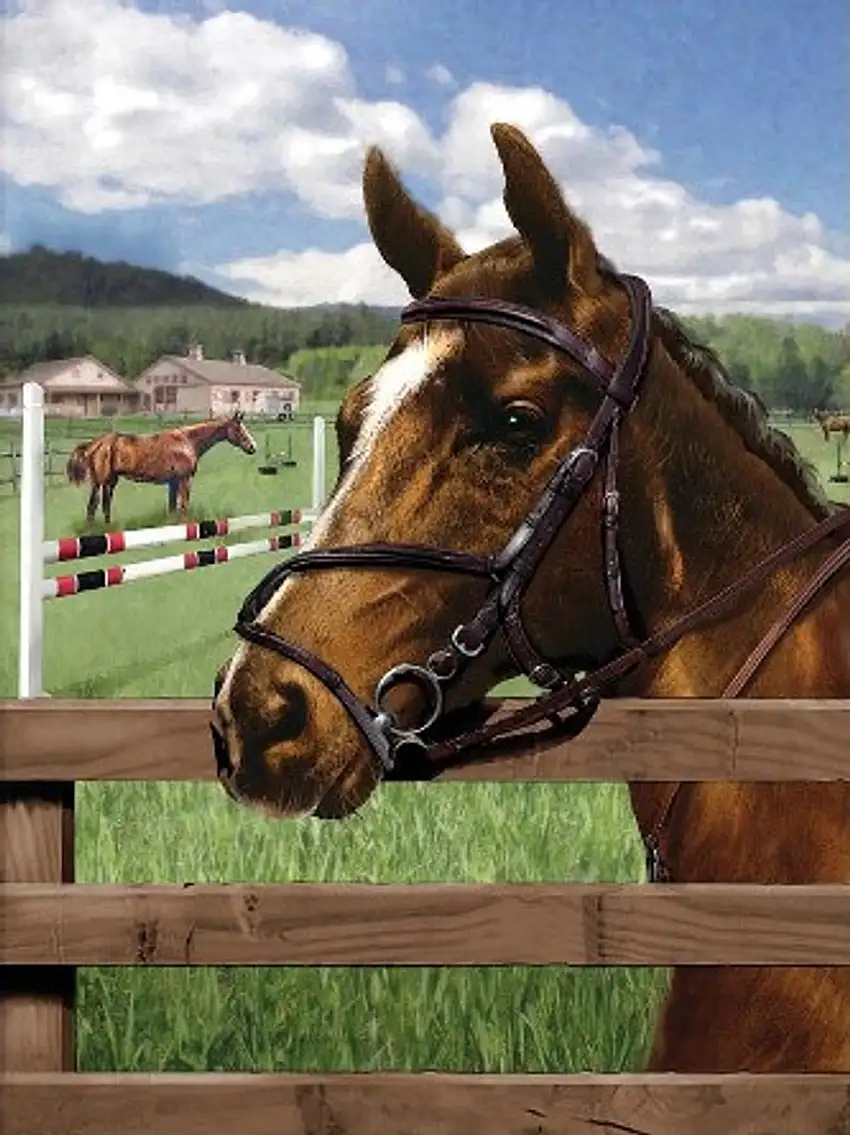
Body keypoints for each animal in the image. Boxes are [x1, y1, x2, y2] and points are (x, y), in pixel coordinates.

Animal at [66, 410, 256, 525]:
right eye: (239, 429)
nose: (252, 447)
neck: (187, 441)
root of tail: (94, 443)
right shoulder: (184, 480)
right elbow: (184, 505)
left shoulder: (173, 482)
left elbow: (172, 507)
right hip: (100, 482)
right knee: (93, 506)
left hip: (111, 482)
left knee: (105, 505)